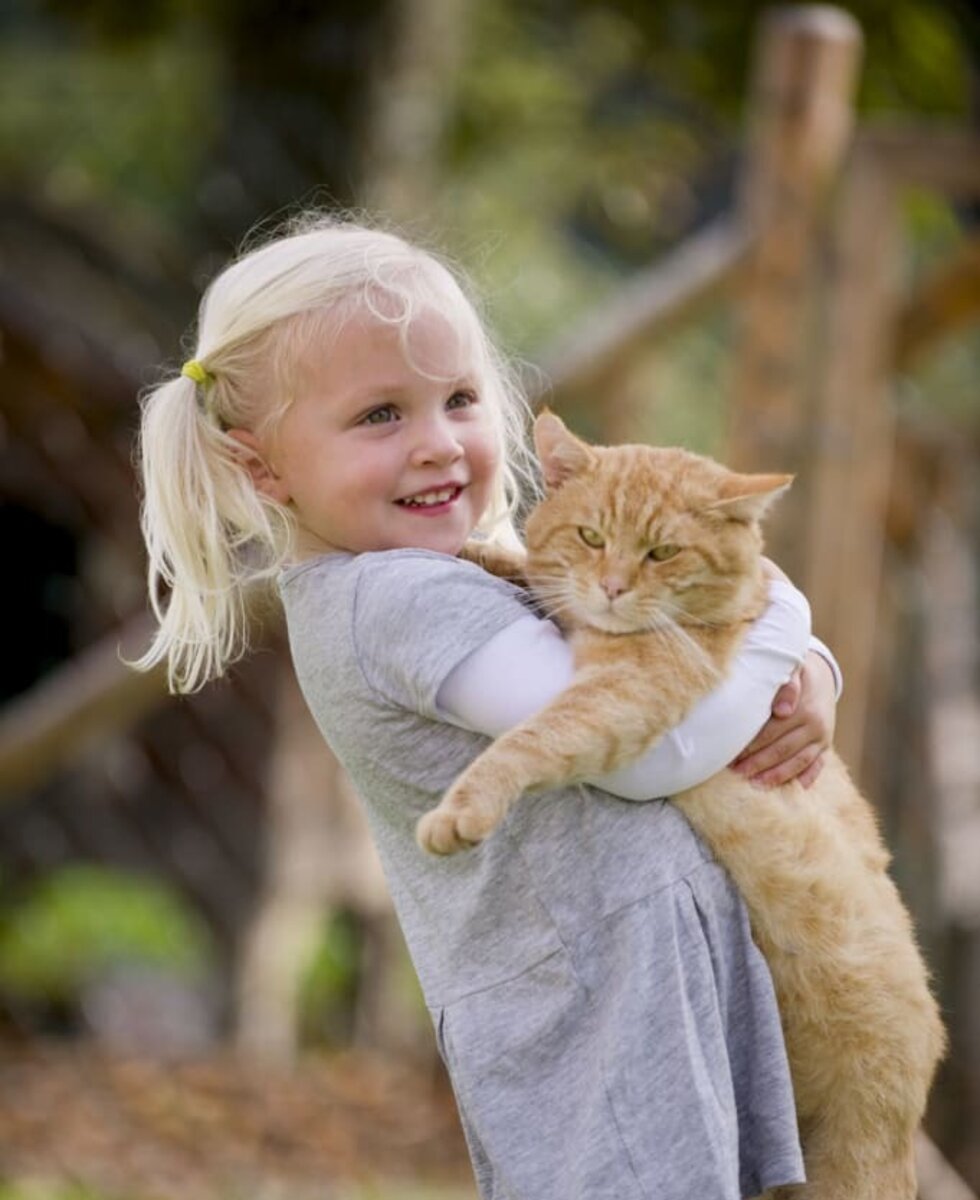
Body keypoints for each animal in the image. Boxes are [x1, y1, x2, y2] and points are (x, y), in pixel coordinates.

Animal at [417, 412, 945, 1200]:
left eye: (662, 552)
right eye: (591, 536)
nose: (611, 588)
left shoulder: (626, 696)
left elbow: (537, 736)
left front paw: (463, 810)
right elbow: (532, 570)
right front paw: (485, 550)